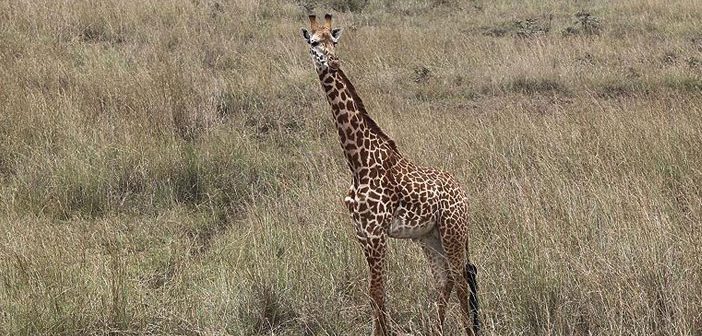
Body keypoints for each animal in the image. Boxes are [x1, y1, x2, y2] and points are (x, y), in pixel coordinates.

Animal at [300, 13, 482, 336]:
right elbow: (374, 293)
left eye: (334, 41)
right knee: (445, 279)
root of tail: (463, 195)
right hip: (428, 236)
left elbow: (377, 292)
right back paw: (435, 330)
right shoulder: (362, 233)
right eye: (314, 43)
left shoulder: (376, 233)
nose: (332, 61)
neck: (358, 162)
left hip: (453, 231)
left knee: (462, 278)